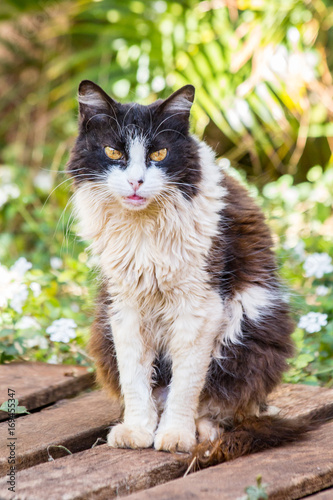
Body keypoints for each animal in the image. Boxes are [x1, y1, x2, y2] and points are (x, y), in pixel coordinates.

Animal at [67, 80, 332, 466]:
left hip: (246, 326)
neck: (144, 228)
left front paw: (176, 435)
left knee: (221, 404)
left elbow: (187, 383)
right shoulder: (124, 303)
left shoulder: (199, 304)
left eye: (159, 154)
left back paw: (203, 432)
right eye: (113, 153)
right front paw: (138, 430)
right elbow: (134, 377)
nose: (135, 182)